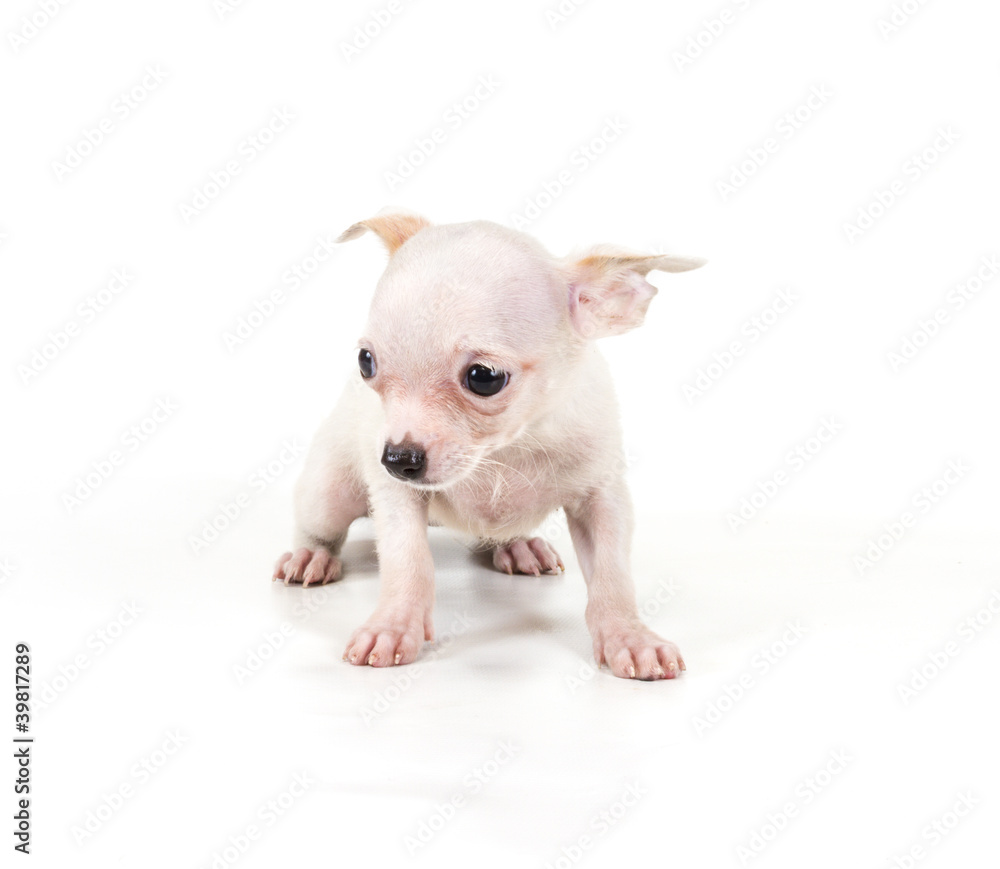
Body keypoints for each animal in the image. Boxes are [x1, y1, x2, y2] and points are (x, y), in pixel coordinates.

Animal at [276, 210, 704, 680]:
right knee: (319, 525)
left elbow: (613, 575)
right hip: (328, 491)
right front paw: (393, 624)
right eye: (366, 363)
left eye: (485, 377)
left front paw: (629, 635)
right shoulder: (396, 496)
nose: (396, 459)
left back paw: (517, 546)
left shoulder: (602, 497)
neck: (504, 450)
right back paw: (310, 556)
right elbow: (408, 560)